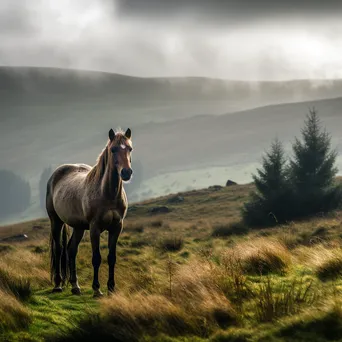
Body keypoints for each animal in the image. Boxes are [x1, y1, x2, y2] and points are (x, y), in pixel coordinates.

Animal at [46, 128, 134, 296]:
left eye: (130, 148)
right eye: (113, 149)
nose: (126, 173)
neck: (107, 193)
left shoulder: (116, 227)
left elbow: (111, 257)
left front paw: (111, 288)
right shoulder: (95, 228)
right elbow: (96, 258)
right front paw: (97, 289)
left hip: (78, 227)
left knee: (71, 250)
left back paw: (75, 286)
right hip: (56, 222)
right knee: (59, 250)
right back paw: (58, 285)